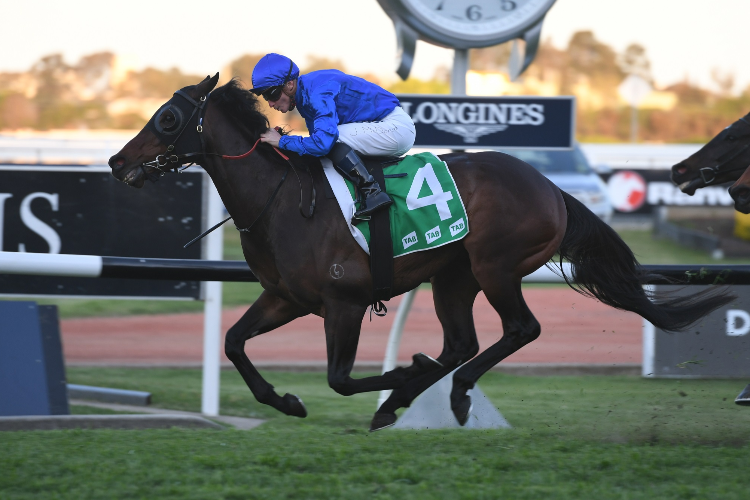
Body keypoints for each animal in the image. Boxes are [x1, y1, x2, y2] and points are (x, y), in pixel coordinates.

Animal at [110, 74, 736, 430]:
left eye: (168, 117)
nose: (117, 162)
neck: (280, 199)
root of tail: (550, 188)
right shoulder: (285, 297)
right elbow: (234, 342)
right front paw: (286, 401)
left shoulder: (344, 302)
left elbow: (341, 378)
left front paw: (399, 377)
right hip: (453, 277)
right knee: (462, 342)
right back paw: (419, 393)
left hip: (494, 265)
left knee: (520, 330)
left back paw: (446, 393)